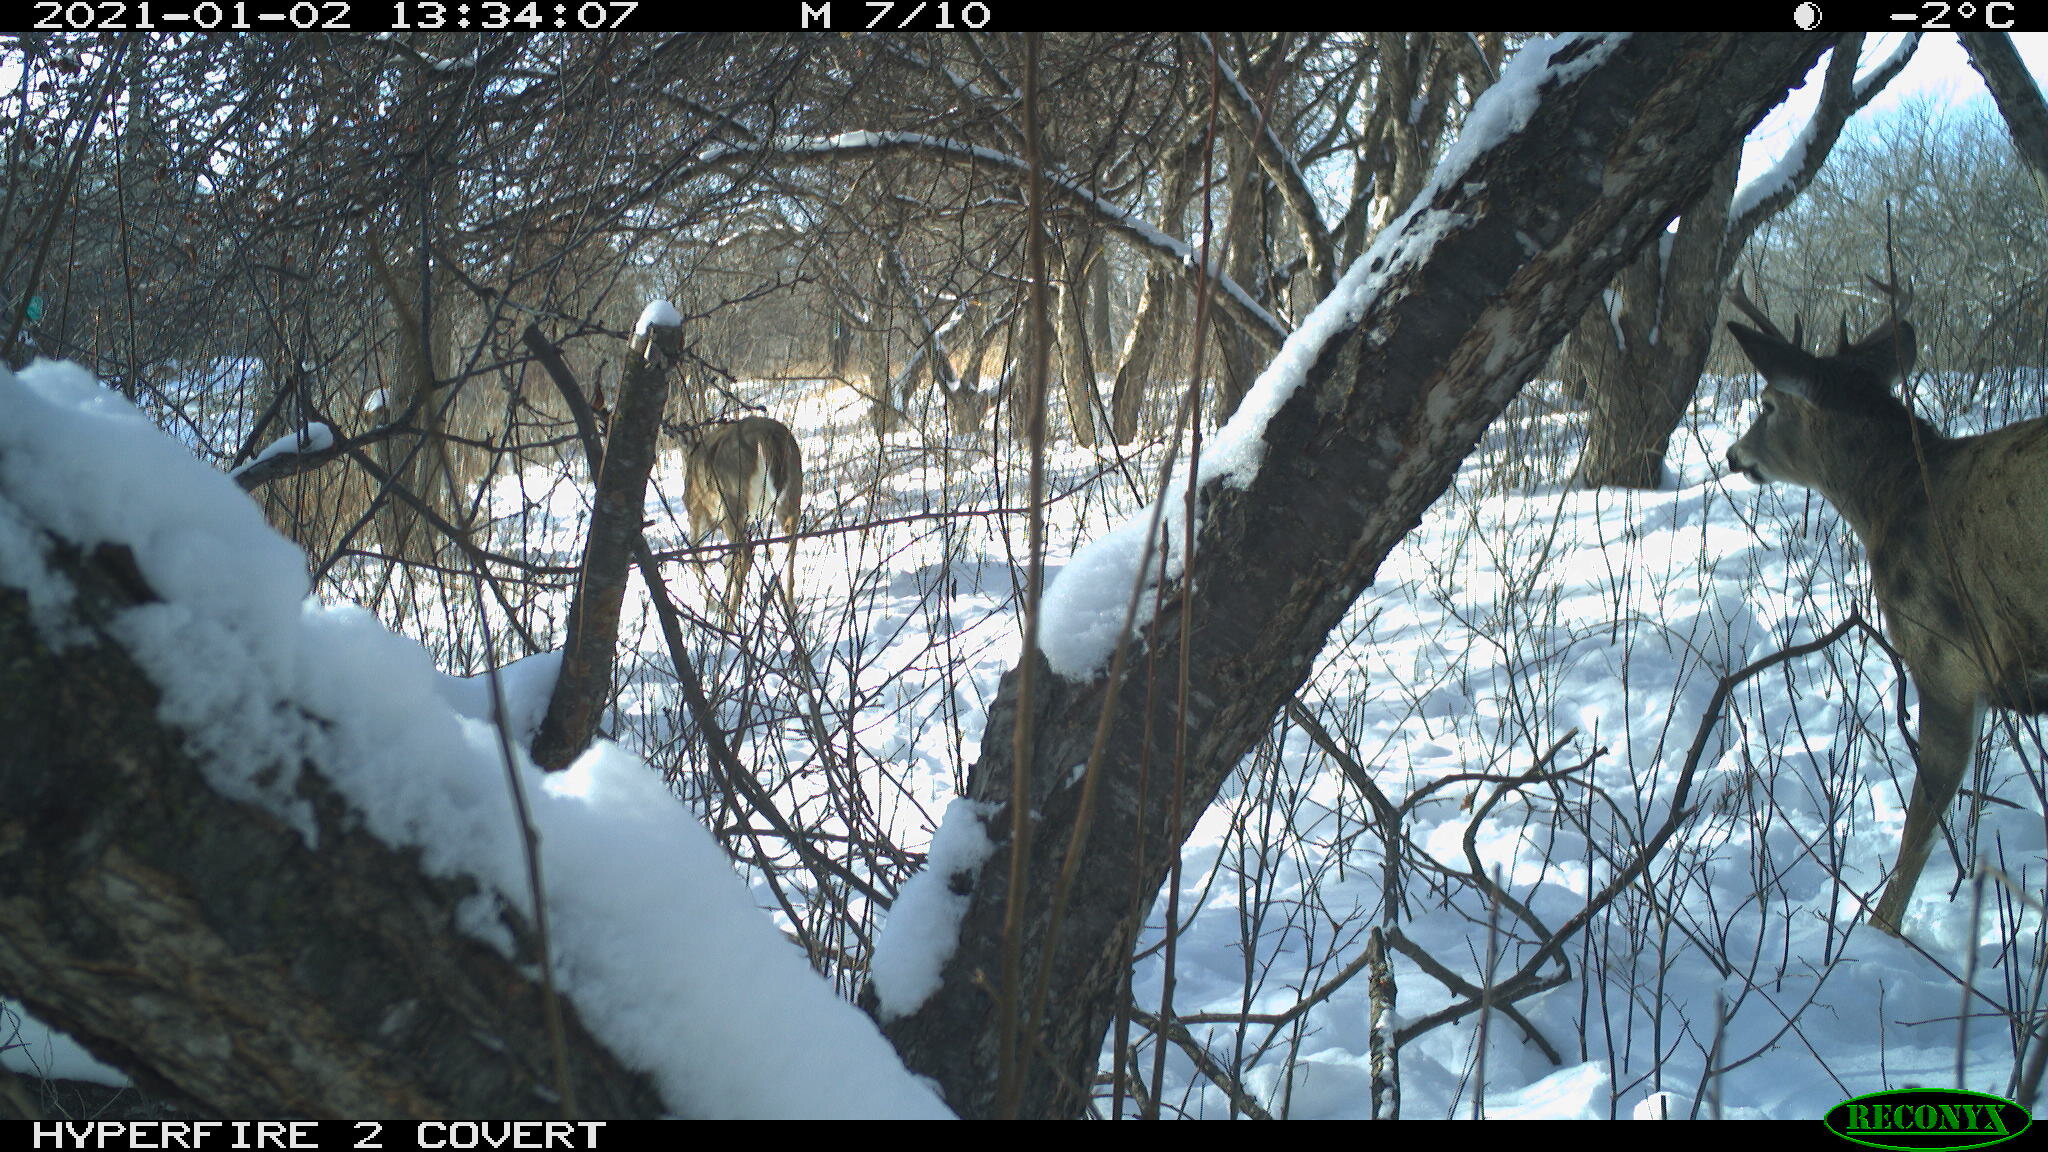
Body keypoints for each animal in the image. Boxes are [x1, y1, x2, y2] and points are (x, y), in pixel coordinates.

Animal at [681, 415, 804, 623]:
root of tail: (766, 435)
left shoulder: (698, 509)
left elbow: (694, 554)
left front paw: (713, 604)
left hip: (731, 498)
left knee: (744, 552)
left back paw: (729, 617)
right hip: (793, 492)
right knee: (791, 539)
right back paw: (789, 606)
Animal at [1723, 279, 2048, 934]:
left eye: (1766, 404)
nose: (1732, 455)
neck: (1891, 497)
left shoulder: (1947, 661)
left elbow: (1920, 830)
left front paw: (1881, 933)